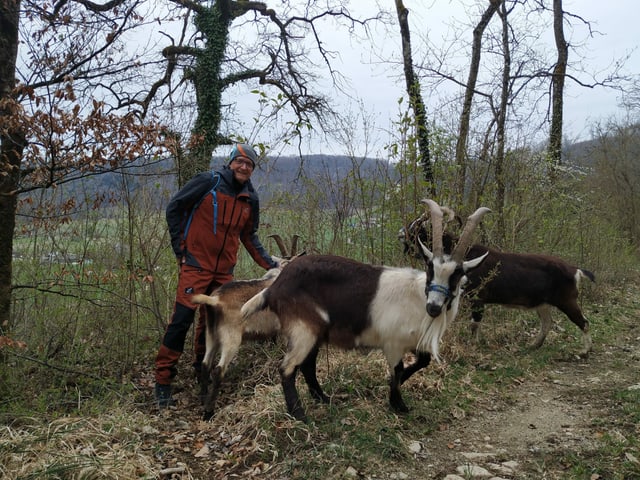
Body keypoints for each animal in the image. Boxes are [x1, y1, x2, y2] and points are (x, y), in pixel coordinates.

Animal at [191, 235, 304, 420]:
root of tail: (215, 300)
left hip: (211, 334)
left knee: (206, 363)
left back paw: (203, 399)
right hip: (231, 338)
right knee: (218, 370)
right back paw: (209, 411)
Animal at [240, 201, 490, 422]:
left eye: (457, 274)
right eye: (430, 268)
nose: (434, 307)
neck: (418, 296)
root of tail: (275, 286)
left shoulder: (414, 341)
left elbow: (423, 362)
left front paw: (399, 388)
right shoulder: (392, 343)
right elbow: (397, 369)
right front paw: (398, 404)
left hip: (315, 332)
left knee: (308, 365)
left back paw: (323, 398)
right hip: (303, 328)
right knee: (288, 368)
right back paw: (300, 415)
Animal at [400, 211, 596, 356]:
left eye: (417, 226)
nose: (401, 234)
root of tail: (575, 270)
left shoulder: (478, 299)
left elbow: (474, 324)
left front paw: (473, 346)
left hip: (567, 300)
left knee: (584, 322)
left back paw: (584, 351)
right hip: (543, 304)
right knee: (547, 323)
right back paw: (533, 345)